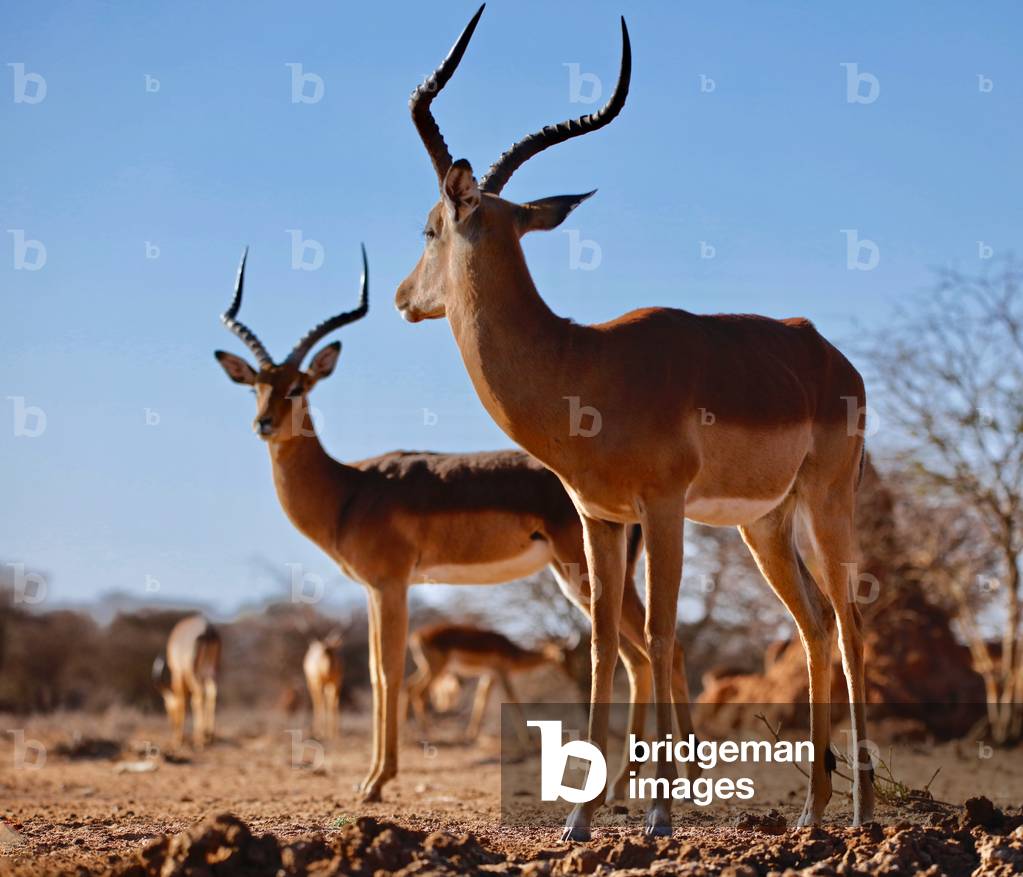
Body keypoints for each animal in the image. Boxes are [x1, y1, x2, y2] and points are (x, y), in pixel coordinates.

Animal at [153, 614, 221, 747]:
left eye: (167, 708)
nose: (172, 726)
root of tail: (207, 629)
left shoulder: (178, 673)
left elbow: (181, 701)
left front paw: (177, 739)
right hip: (211, 670)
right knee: (212, 692)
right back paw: (209, 735)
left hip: (191, 673)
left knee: (198, 695)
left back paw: (199, 739)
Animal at [407, 622, 574, 745]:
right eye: (559, 652)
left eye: (570, 652)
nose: (570, 673)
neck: (513, 652)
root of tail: (417, 635)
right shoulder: (501, 672)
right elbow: (513, 699)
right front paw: (527, 738)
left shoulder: (489, 676)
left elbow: (481, 700)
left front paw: (471, 735)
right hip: (436, 668)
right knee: (419, 692)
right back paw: (427, 732)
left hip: (427, 668)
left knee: (411, 686)